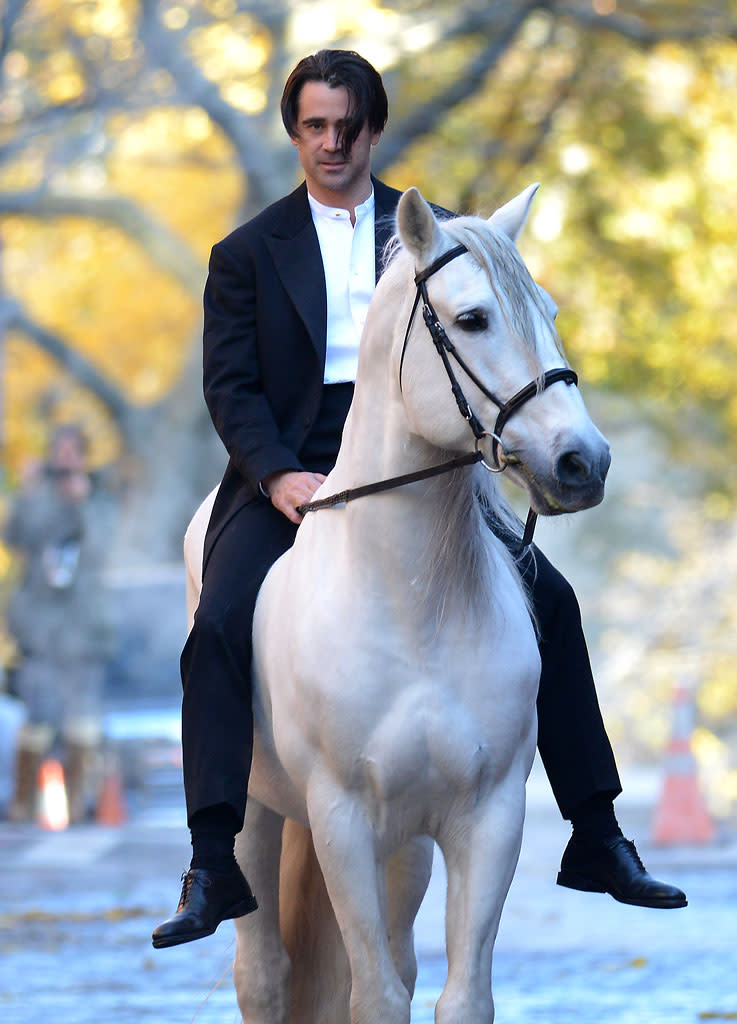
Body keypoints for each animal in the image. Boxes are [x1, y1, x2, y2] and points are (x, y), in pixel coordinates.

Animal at [185, 186, 610, 1024]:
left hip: (405, 845)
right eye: (472, 318)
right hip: (257, 817)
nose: (583, 461)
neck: (416, 604)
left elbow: (456, 996)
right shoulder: (340, 819)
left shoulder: (486, 815)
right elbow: (374, 997)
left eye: (547, 308)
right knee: (263, 973)